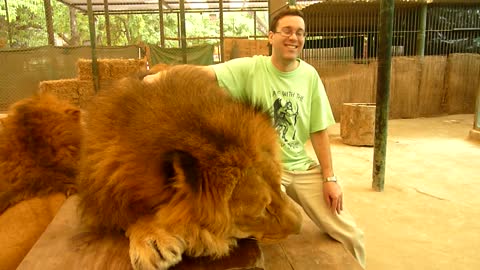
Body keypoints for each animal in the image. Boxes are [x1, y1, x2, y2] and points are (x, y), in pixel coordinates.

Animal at [79, 65, 302, 270]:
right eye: (261, 211)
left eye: (278, 185)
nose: (300, 226)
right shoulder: (105, 197)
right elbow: (131, 215)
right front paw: (152, 241)